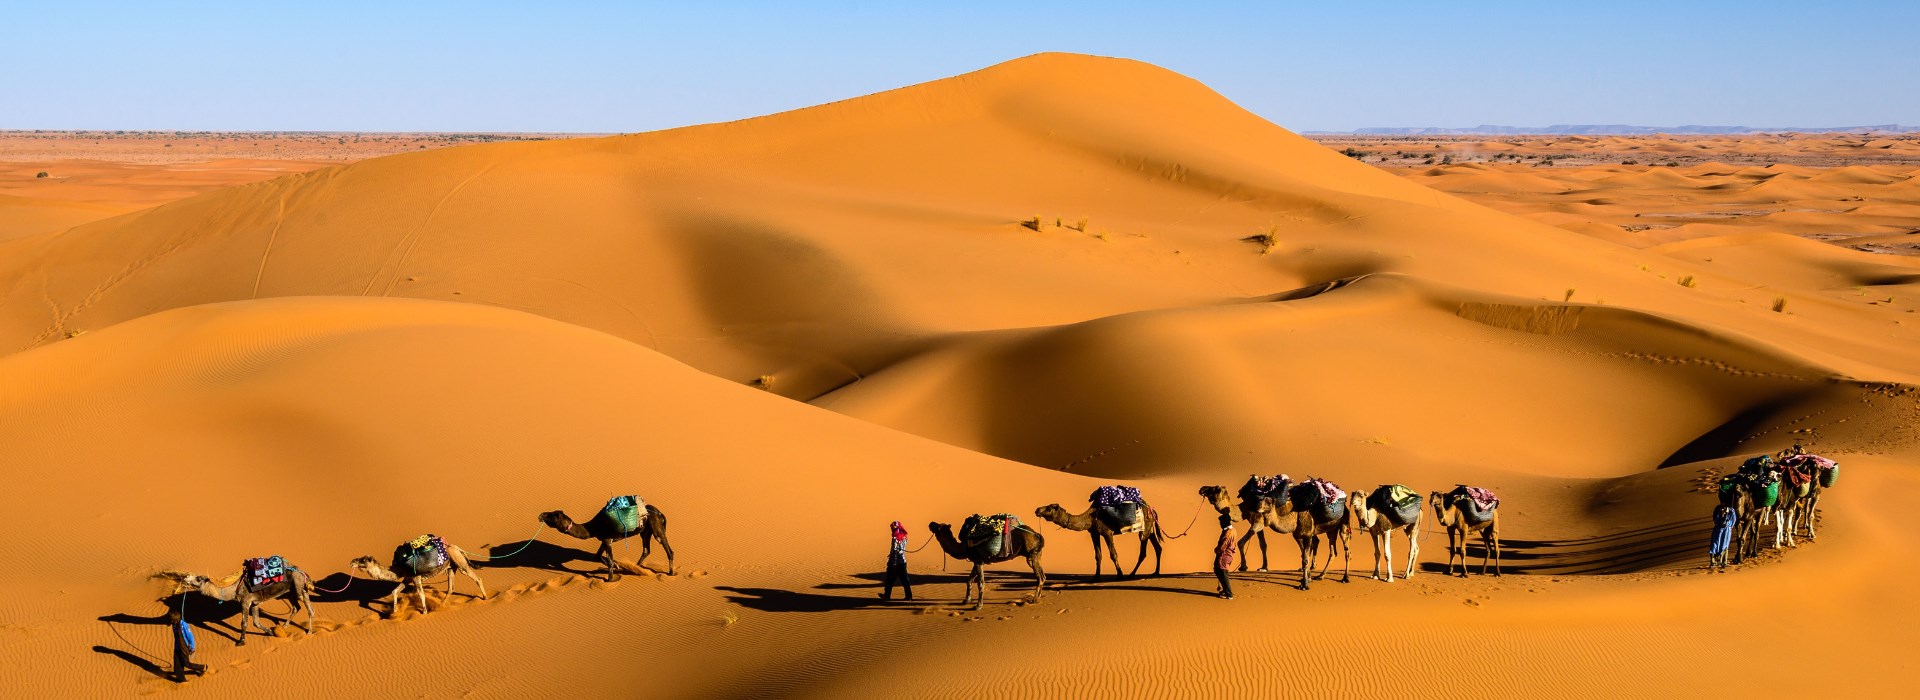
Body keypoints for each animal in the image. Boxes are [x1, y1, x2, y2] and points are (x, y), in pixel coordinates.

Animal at [155, 560, 311, 644]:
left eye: (199, 578)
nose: (186, 577)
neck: (234, 589)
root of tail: (302, 571)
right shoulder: (255, 603)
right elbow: (256, 622)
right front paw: (270, 632)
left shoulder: (246, 601)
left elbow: (244, 622)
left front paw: (241, 641)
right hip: (291, 591)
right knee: (296, 606)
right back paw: (285, 625)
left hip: (298, 586)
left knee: (308, 607)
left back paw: (309, 630)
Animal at [351, 533, 491, 613]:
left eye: (363, 560)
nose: (352, 562)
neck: (398, 567)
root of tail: (457, 547)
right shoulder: (408, 578)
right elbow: (395, 591)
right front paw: (394, 611)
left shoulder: (415, 577)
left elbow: (421, 594)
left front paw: (424, 612)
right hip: (451, 567)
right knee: (451, 587)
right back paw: (441, 605)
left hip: (460, 562)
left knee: (477, 578)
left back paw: (485, 598)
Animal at [541, 498, 675, 579]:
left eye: (552, 516)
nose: (541, 514)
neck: (593, 527)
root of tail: (660, 513)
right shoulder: (604, 539)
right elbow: (598, 556)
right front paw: (617, 567)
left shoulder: (607, 540)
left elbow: (609, 560)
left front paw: (610, 579)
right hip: (645, 532)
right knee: (646, 549)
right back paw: (636, 567)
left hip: (657, 528)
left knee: (668, 550)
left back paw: (671, 572)